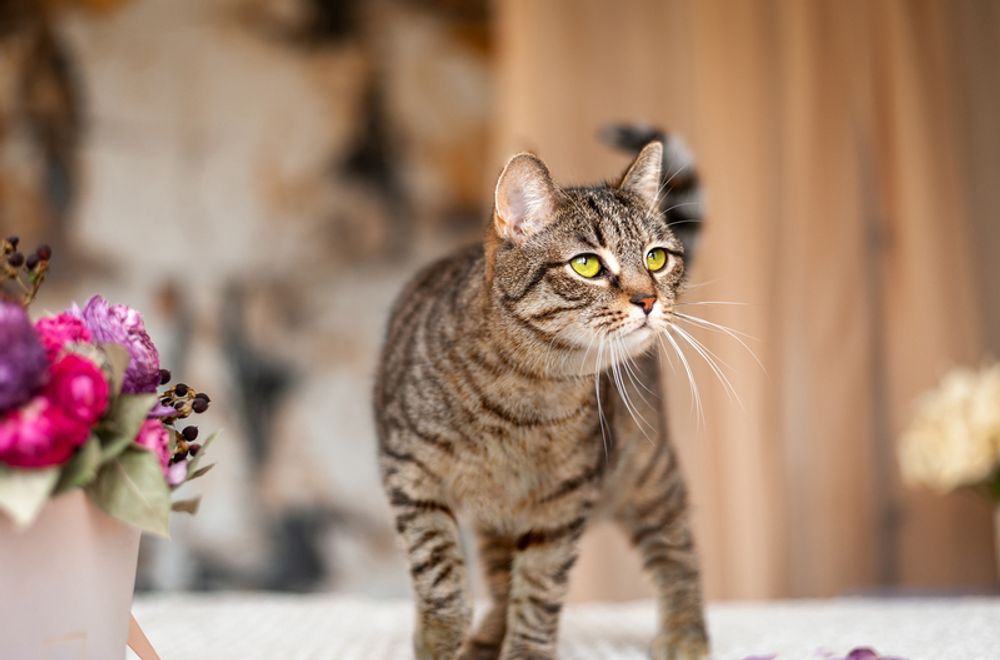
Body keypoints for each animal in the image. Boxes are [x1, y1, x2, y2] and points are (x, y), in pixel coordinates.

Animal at [376, 141, 712, 660]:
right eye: (587, 265)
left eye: (656, 258)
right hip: (500, 522)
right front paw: (439, 640)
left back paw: (685, 631)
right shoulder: (410, 476)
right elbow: (440, 574)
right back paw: (485, 639)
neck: (524, 396)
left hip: (647, 473)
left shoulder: (564, 504)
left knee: (676, 547)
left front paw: (525, 650)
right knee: (499, 582)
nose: (648, 300)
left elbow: (538, 591)